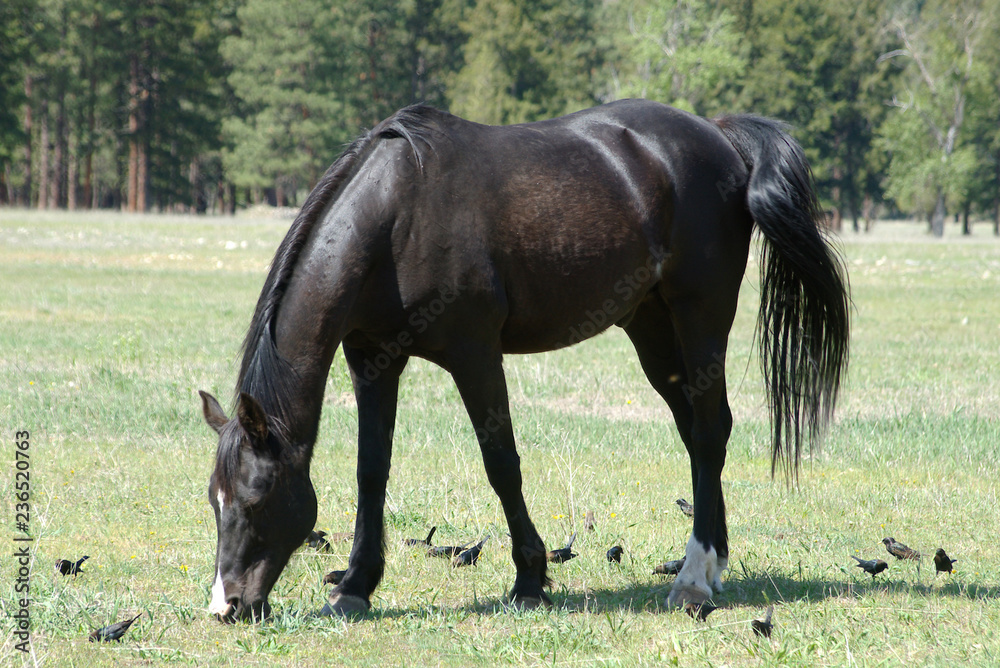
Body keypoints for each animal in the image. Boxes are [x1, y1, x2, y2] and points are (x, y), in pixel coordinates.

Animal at [200, 98, 849, 621]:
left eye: (255, 500)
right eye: (215, 500)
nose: (226, 605)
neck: (396, 217)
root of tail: (717, 134)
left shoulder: (475, 356)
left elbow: (501, 463)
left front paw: (531, 578)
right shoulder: (373, 362)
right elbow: (371, 471)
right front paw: (357, 585)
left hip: (700, 314)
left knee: (710, 432)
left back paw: (692, 580)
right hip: (651, 326)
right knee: (699, 432)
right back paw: (713, 563)